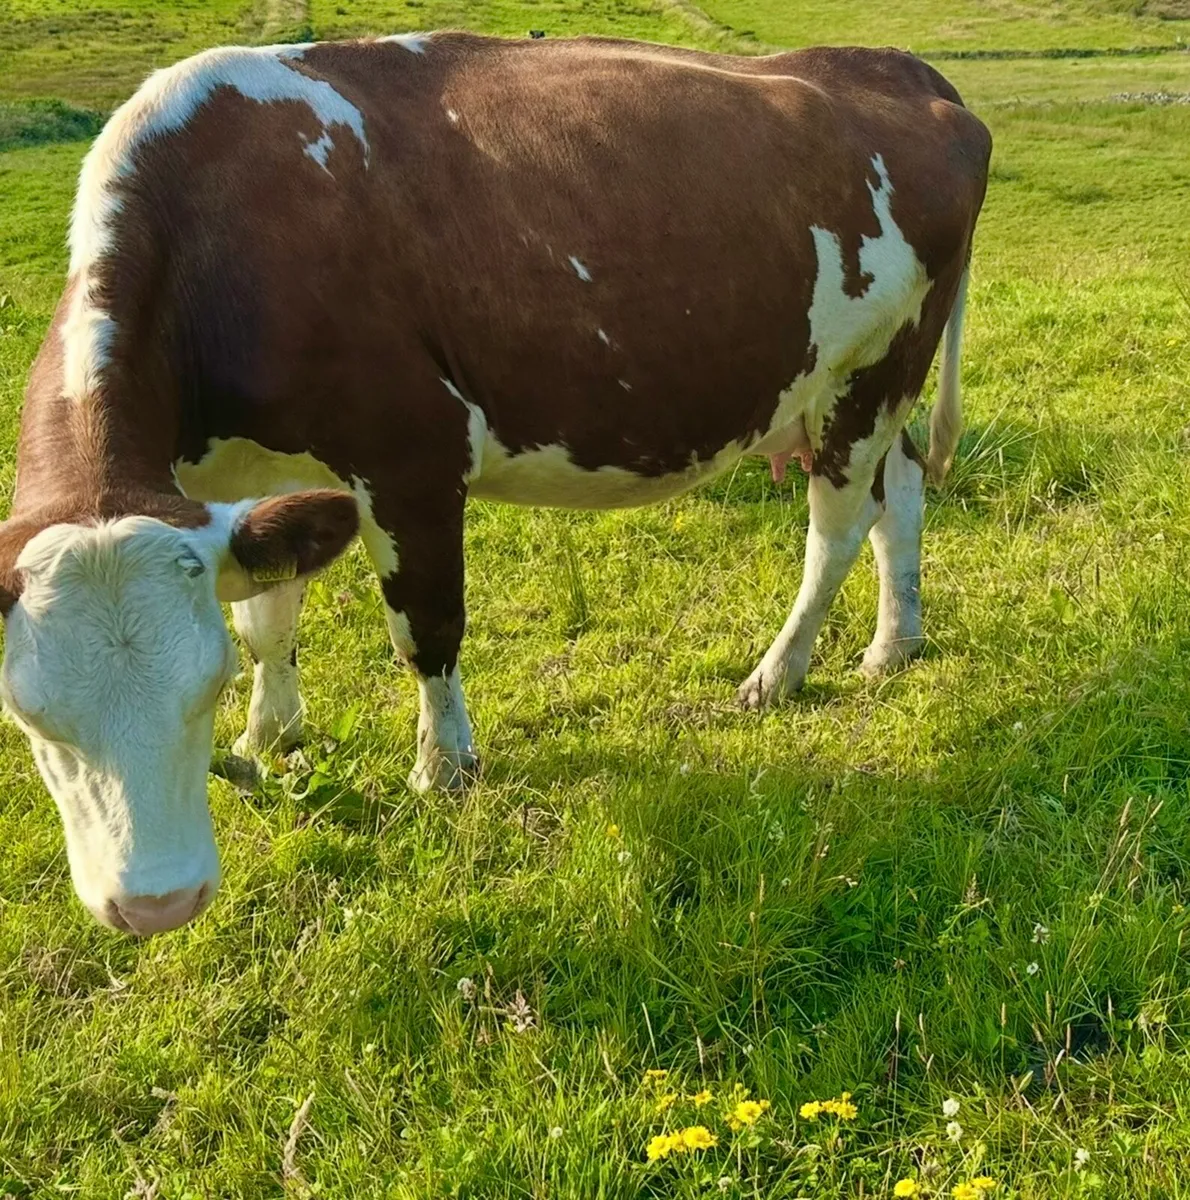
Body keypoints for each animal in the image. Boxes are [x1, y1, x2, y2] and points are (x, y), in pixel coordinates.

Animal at [0, 33, 990, 934]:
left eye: (198, 692)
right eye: (31, 721)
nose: (156, 904)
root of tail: (902, 67)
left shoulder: (412, 458)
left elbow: (425, 631)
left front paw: (444, 767)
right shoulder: (251, 478)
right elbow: (265, 619)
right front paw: (270, 735)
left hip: (870, 372)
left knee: (837, 529)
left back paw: (777, 673)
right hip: (858, 390)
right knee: (901, 495)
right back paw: (893, 642)